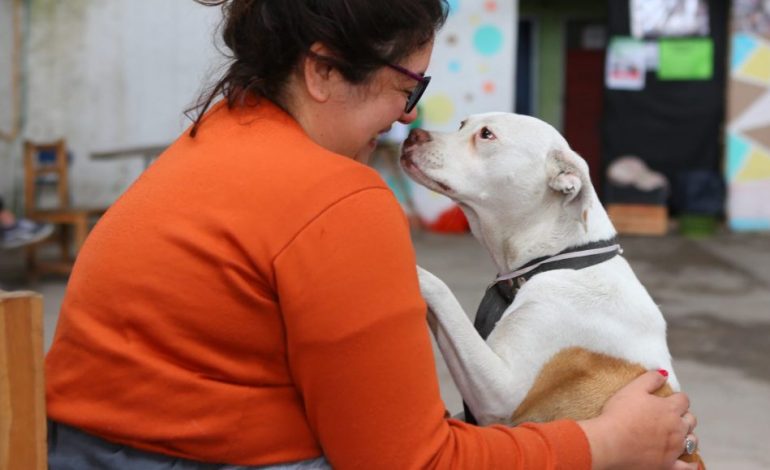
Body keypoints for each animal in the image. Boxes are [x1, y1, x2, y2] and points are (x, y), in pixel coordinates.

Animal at [402, 114, 704, 466]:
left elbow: (441, 289)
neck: (561, 260)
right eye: (463, 123)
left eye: (487, 135)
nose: (412, 135)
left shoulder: (502, 390)